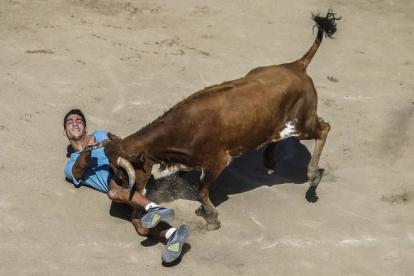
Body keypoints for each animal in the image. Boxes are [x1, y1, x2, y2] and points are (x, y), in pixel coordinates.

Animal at [100, 10, 340, 231]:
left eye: (122, 174)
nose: (117, 197)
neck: (180, 129)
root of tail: (296, 65)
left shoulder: (216, 163)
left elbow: (200, 192)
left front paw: (212, 219)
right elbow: (180, 182)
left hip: (300, 124)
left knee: (324, 129)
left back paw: (312, 176)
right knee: (279, 137)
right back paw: (270, 161)